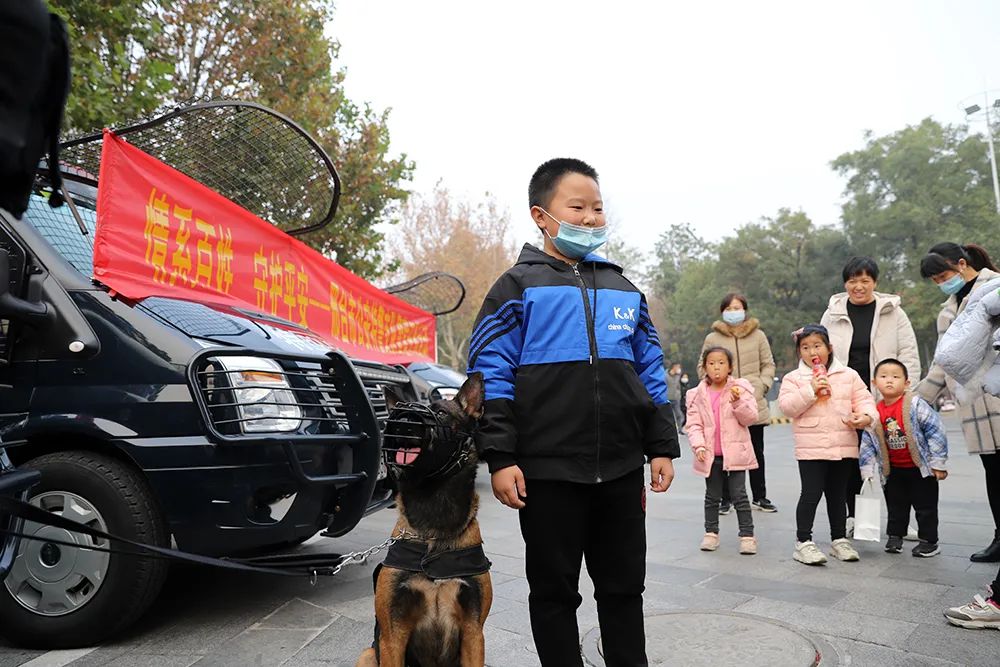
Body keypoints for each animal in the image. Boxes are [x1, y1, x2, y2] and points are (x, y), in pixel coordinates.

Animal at [358, 374, 494, 664]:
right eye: (395, 413)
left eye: (441, 413)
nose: (404, 422)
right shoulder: (391, 636)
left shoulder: (474, 633)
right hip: (367, 654)